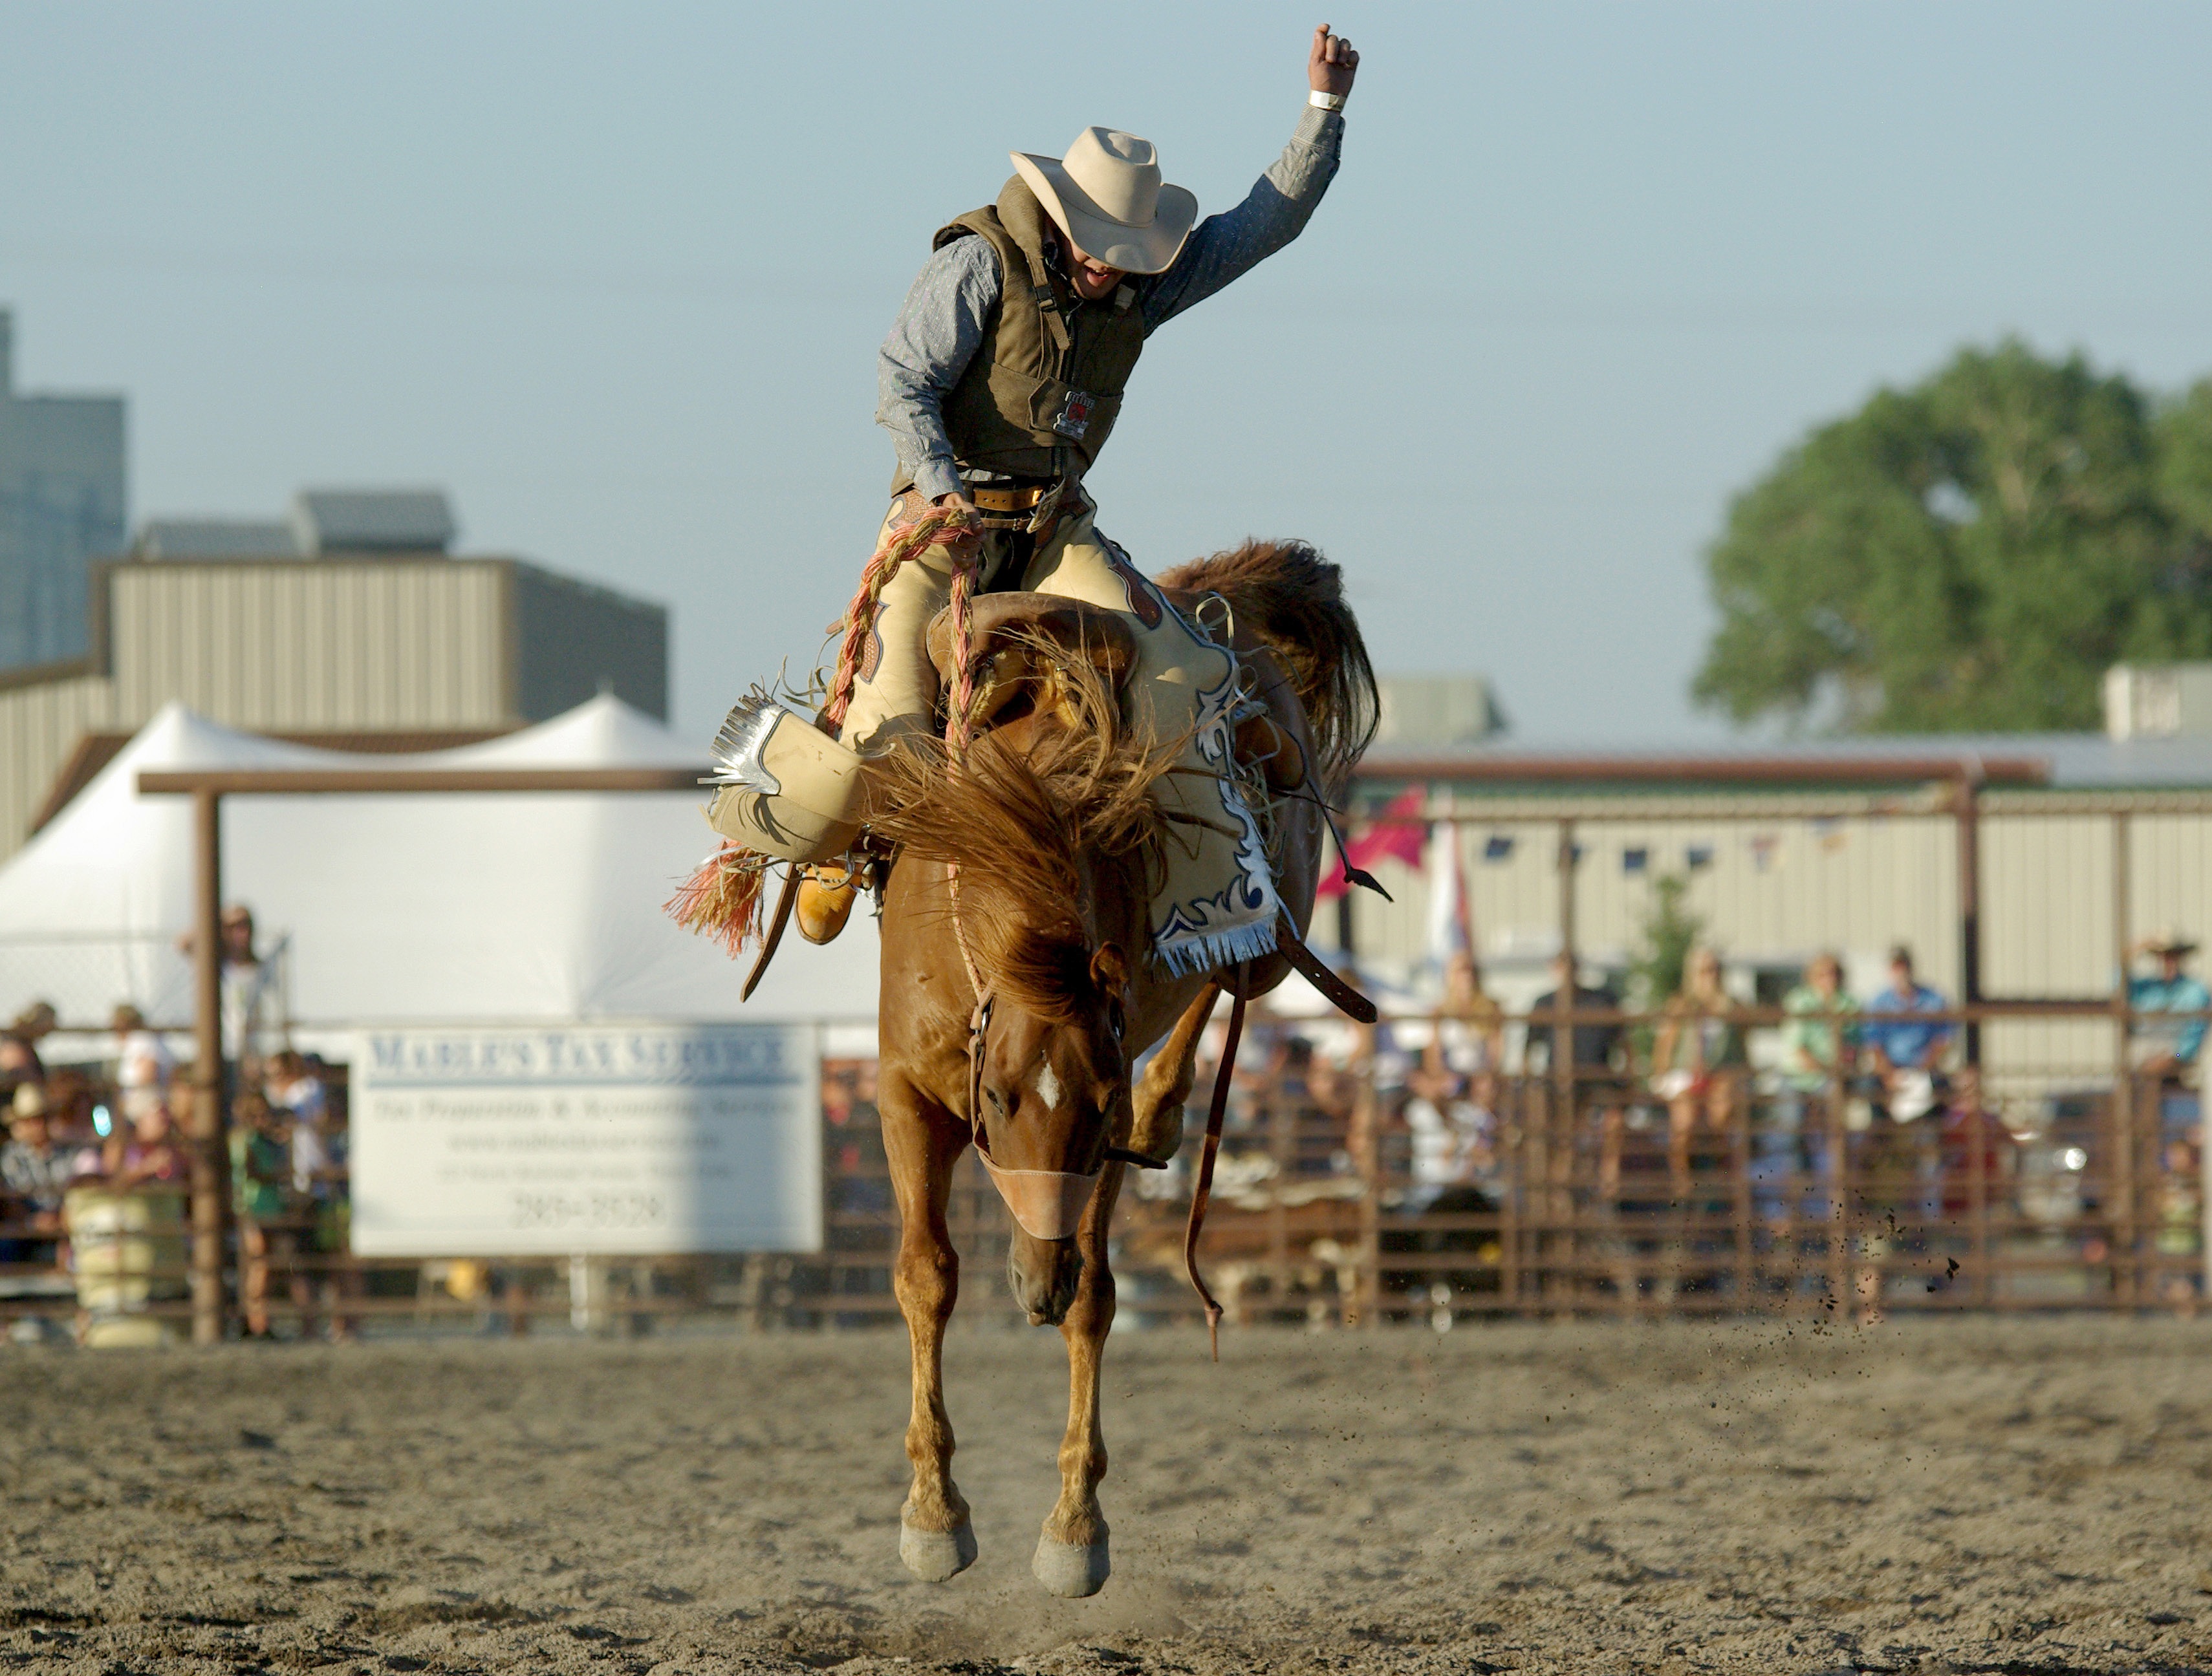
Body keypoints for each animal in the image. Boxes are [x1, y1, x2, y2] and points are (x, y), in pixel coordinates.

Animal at [861, 538, 1376, 1598]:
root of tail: (1224, 604)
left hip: (1275, 925)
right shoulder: (903, 1092)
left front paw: (1074, 1530)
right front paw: (933, 1516)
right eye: (997, 1096)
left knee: (1235, 970)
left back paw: (1167, 1111)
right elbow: (927, 1276)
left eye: (1092, 1111)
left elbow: (1098, 1301)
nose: (1037, 1286)